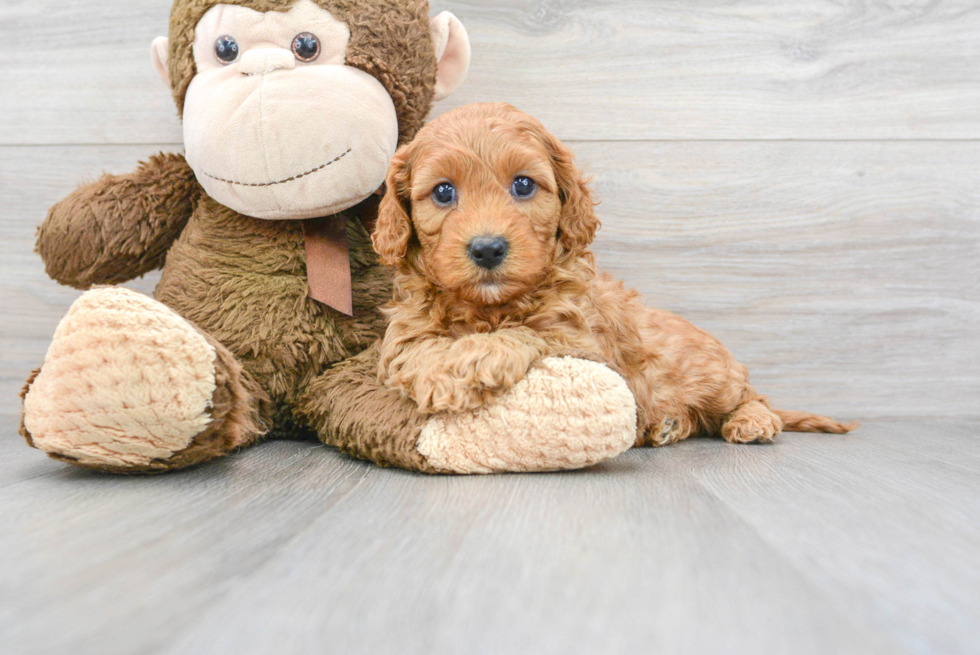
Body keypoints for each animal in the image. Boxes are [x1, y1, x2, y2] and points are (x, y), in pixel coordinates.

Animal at [372, 104, 852, 446]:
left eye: (523, 185)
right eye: (443, 192)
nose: (487, 248)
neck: (491, 307)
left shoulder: (585, 345)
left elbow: (529, 332)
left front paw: (473, 359)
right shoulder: (404, 333)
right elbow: (414, 353)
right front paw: (445, 373)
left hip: (715, 376)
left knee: (752, 397)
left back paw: (752, 421)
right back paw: (669, 426)